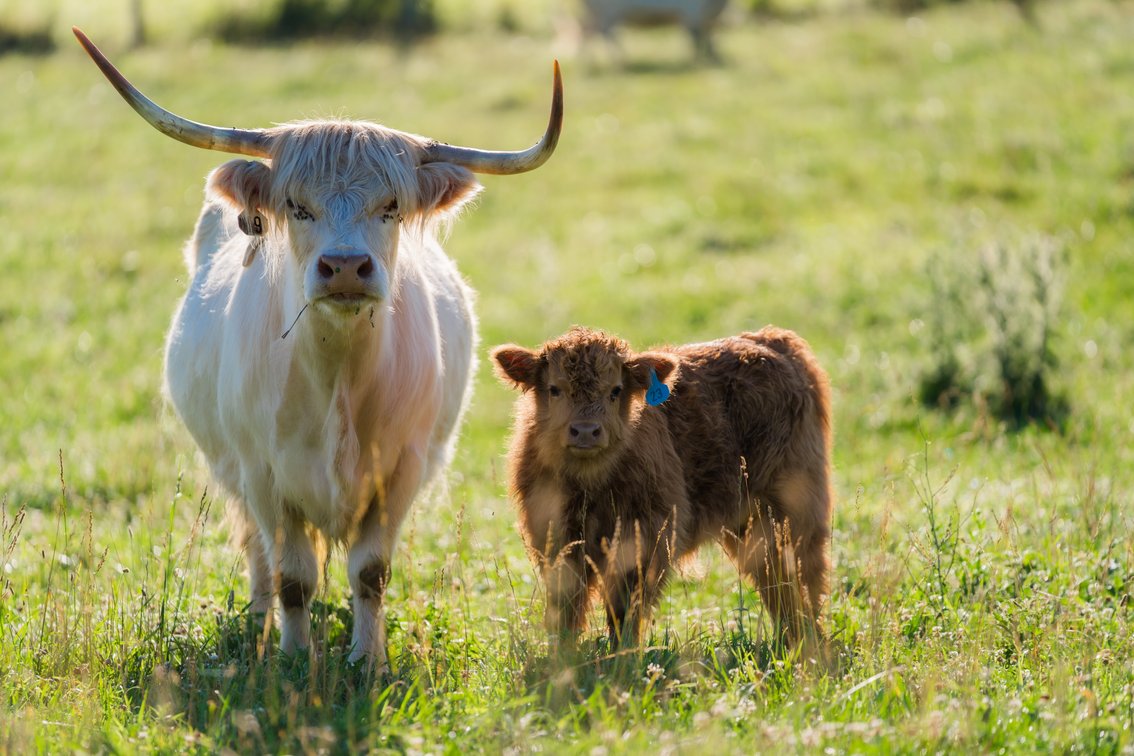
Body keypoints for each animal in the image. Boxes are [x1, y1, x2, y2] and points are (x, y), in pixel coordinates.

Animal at [73, 28, 563, 672]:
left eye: (391, 207)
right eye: (298, 207)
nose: (346, 267)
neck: (339, 379)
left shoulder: (401, 471)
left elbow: (370, 572)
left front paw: (368, 660)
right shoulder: (263, 473)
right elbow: (294, 578)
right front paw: (291, 656)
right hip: (231, 470)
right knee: (258, 554)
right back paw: (257, 621)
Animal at [492, 326, 832, 648]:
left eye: (615, 390)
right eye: (554, 389)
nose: (586, 431)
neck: (590, 486)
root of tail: (770, 338)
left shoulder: (646, 537)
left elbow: (625, 607)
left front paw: (621, 655)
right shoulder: (554, 538)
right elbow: (566, 606)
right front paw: (563, 654)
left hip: (793, 510)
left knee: (802, 578)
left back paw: (808, 644)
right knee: (777, 583)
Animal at [578, 0, 729, 62]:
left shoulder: (705, 20)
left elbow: (710, 41)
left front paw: (716, 59)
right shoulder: (692, 15)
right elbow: (698, 40)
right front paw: (700, 62)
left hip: (595, 15)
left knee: (587, 32)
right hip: (607, 14)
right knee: (607, 35)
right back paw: (620, 62)